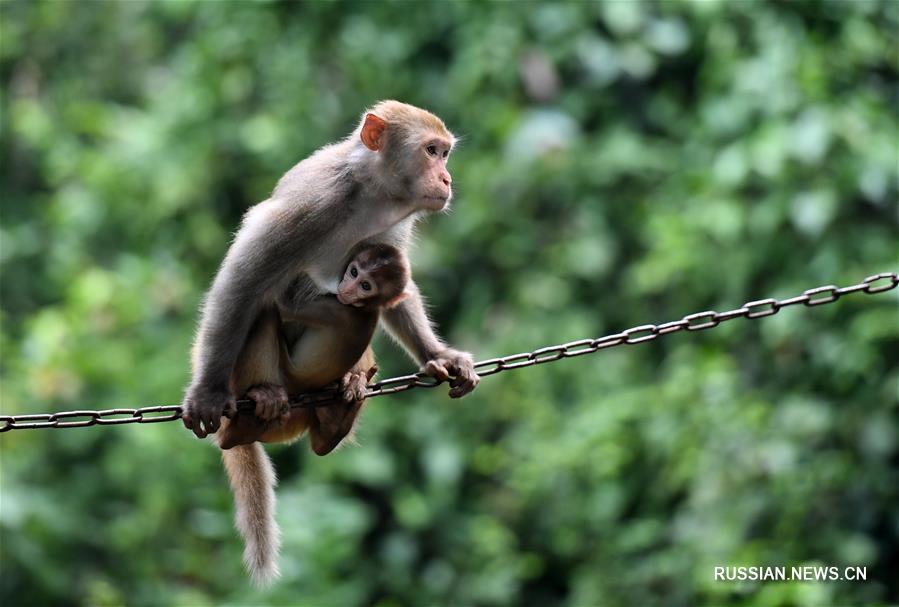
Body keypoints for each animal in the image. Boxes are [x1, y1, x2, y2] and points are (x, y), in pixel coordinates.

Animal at [218, 245, 412, 454]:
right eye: (354, 272)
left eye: (365, 286)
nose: (347, 288)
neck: (366, 308)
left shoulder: (332, 307)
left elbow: (282, 305)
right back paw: (335, 421)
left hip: (281, 379)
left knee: (266, 312)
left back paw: (242, 426)